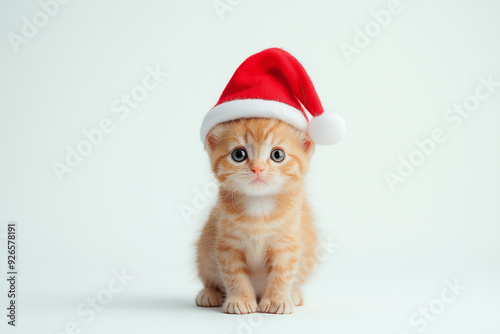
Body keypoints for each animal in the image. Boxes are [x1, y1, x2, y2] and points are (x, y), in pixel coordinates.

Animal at [195, 117, 316, 314]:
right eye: (238, 154)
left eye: (277, 155)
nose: (257, 168)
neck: (259, 208)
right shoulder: (227, 245)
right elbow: (233, 274)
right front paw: (240, 299)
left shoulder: (287, 243)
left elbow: (282, 272)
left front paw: (276, 299)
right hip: (204, 252)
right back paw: (209, 293)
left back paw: (294, 294)